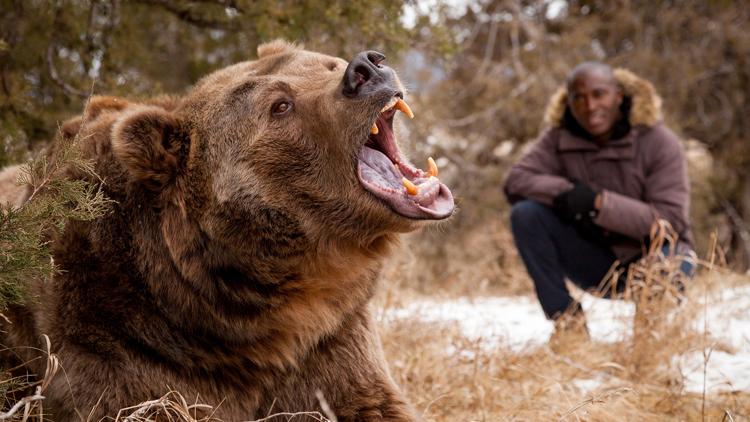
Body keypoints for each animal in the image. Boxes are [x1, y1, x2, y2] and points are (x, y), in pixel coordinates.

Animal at [0, 40, 452, 422]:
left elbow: (369, 402)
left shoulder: (331, 336)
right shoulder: (118, 337)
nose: (366, 68)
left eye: (325, 63)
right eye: (280, 105)